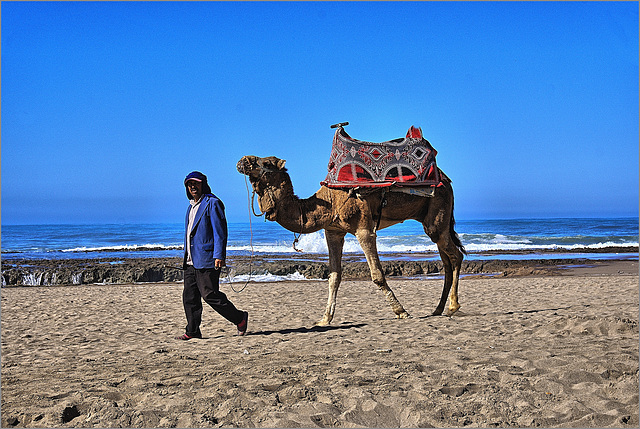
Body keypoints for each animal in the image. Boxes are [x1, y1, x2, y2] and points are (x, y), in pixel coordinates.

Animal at [236, 154, 464, 324]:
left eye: (265, 163)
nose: (242, 161)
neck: (328, 203)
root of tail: (448, 181)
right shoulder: (333, 232)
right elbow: (334, 277)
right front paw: (324, 319)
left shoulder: (364, 229)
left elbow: (377, 275)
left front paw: (401, 311)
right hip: (433, 220)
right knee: (446, 258)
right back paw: (438, 309)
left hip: (438, 211)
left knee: (455, 255)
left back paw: (453, 307)